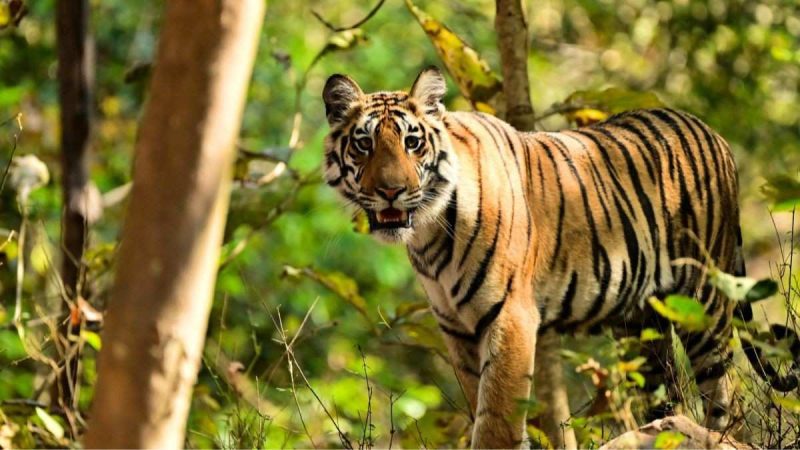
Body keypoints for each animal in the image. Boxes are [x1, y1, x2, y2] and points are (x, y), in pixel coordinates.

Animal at [321, 67, 795, 448]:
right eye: (363, 144)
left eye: (412, 142)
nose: (391, 190)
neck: (430, 232)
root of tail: (713, 134)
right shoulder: (456, 327)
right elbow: (480, 404)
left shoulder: (510, 316)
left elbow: (496, 419)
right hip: (641, 324)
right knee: (665, 396)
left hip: (703, 305)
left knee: (724, 397)